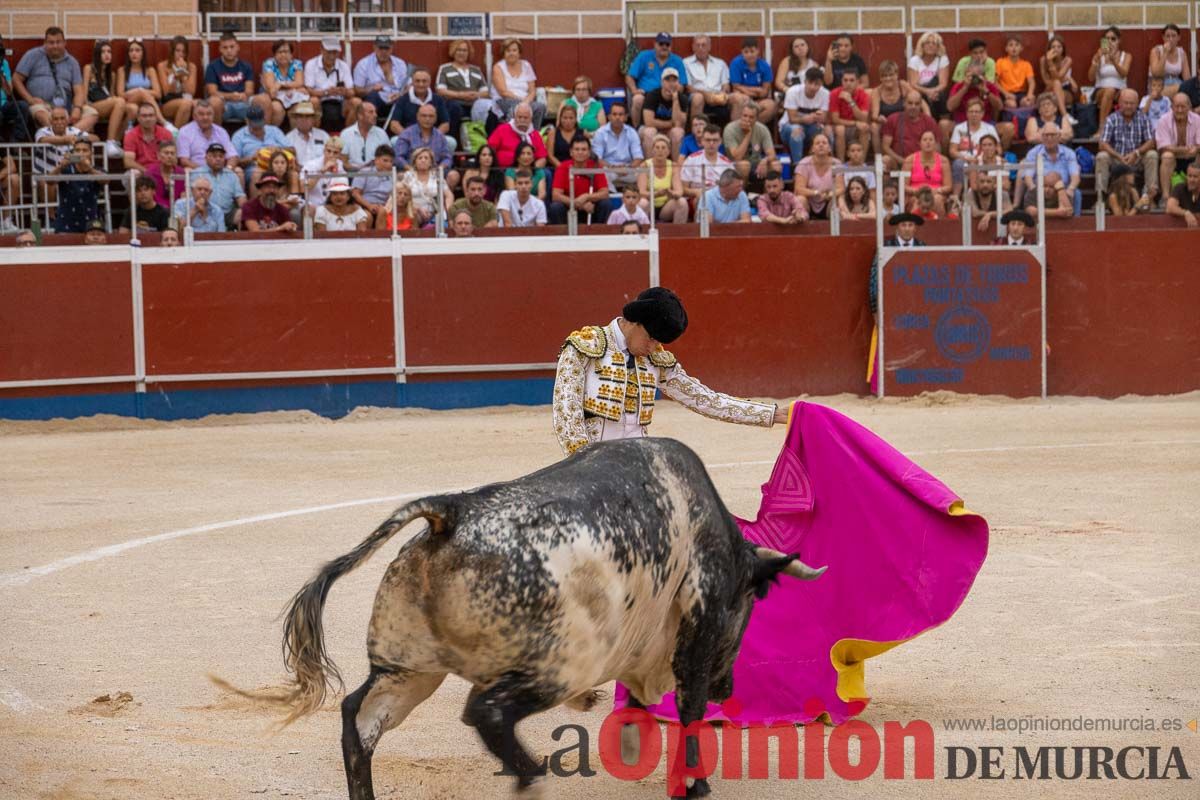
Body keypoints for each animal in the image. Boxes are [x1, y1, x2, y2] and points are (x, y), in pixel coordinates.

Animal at [247, 438, 825, 800]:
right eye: (751, 603)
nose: (730, 687)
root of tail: (449, 512)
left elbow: (640, 703)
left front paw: (631, 743)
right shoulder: (695, 636)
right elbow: (689, 711)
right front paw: (695, 784)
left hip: (407, 669)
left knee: (360, 718)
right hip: (554, 667)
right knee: (486, 712)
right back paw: (534, 781)